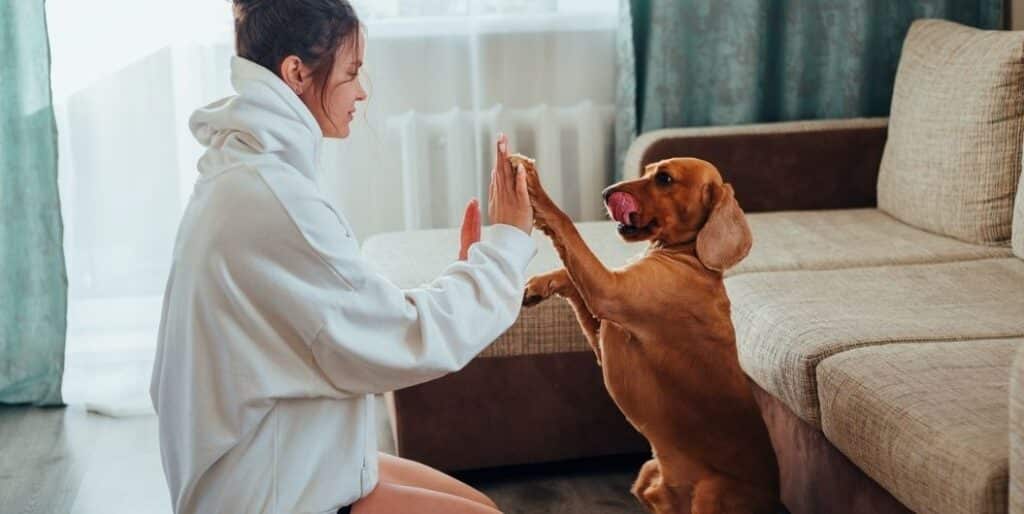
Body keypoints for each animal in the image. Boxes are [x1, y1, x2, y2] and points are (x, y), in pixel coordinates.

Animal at [516, 154, 778, 511]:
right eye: (646, 171)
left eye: (664, 179)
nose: (606, 193)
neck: (690, 256)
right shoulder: (603, 332)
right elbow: (569, 276)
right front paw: (538, 285)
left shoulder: (608, 291)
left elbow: (565, 224)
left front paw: (533, 186)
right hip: (647, 473)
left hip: (710, 493)